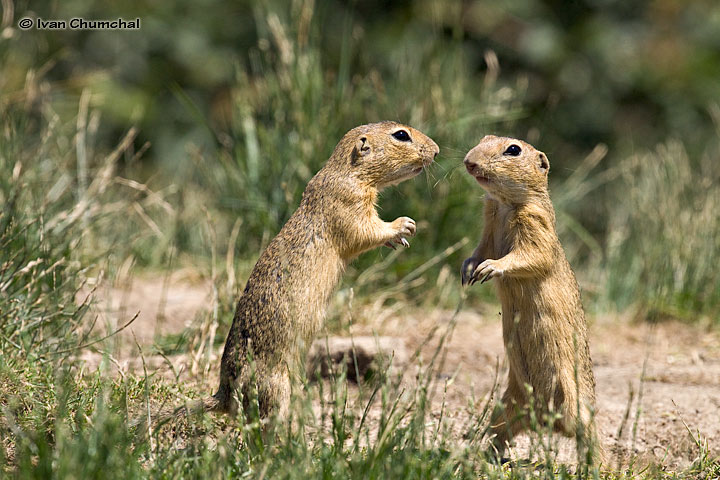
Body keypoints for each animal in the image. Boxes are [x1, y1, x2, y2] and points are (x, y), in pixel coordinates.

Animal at [462, 136, 600, 464]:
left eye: (513, 150)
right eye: (484, 139)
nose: (469, 162)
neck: (503, 204)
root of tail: (549, 420)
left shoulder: (536, 225)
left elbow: (528, 255)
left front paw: (489, 269)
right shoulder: (488, 228)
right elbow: (480, 249)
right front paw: (468, 270)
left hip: (575, 405)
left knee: (591, 441)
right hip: (509, 404)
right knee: (502, 432)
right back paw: (488, 455)